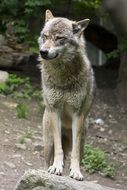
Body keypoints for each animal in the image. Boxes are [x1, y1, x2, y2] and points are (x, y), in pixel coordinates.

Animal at [38, 9, 94, 180]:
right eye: (45, 36)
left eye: (59, 38)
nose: (43, 52)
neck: (62, 76)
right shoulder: (54, 110)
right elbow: (59, 149)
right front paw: (56, 168)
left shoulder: (78, 115)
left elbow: (74, 153)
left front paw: (75, 172)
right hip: (48, 141)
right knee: (47, 159)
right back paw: (48, 169)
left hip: (82, 140)